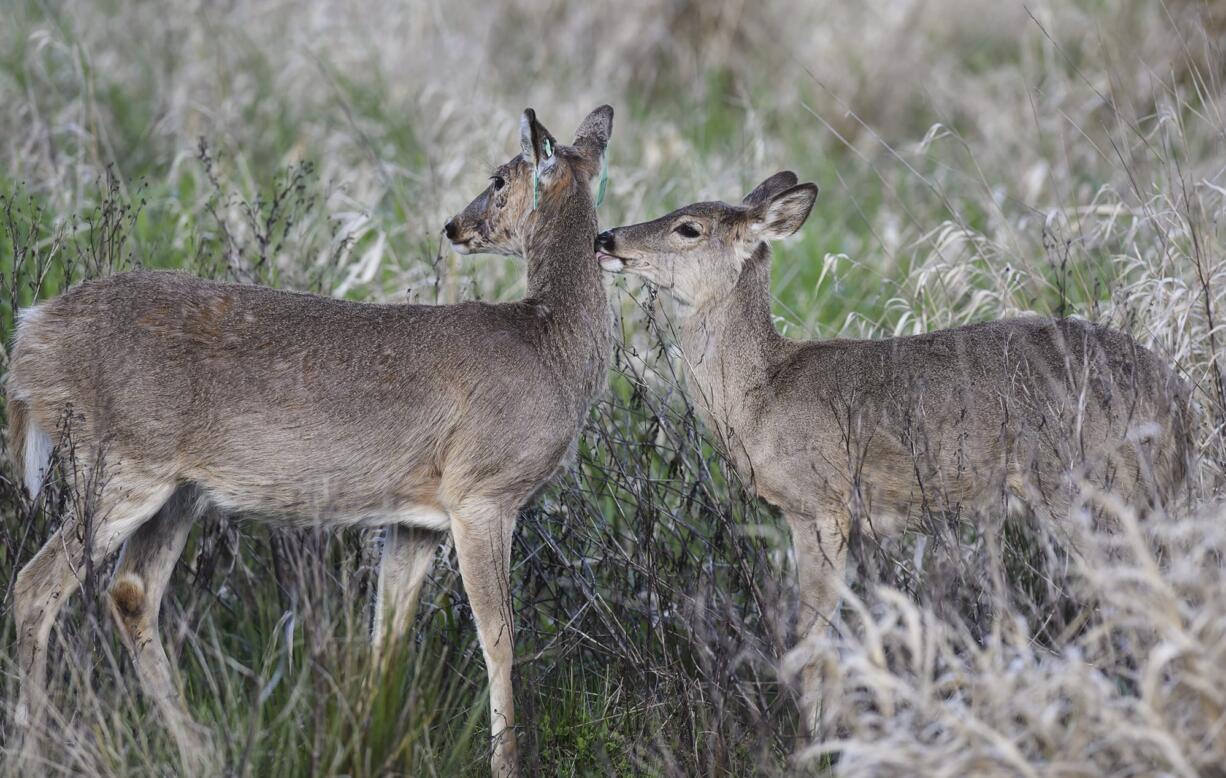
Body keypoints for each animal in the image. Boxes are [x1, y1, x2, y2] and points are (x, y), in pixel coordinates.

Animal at [8, 104, 617, 778]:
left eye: (499, 180)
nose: (455, 225)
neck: (550, 347)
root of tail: (29, 335)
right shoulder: (482, 493)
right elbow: (501, 641)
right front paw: (506, 763)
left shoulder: (420, 518)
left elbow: (388, 641)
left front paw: (370, 742)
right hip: (119, 464)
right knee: (34, 588)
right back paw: (34, 751)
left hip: (175, 489)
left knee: (130, 590)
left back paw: (200, 750)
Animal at [598, 170, 1191, 735]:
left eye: (689, 228)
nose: (607, 237)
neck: (759, 397)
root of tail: (1177, 397)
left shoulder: (820, 503)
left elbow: (811, 632)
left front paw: (816, 738)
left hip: (1085, 485)